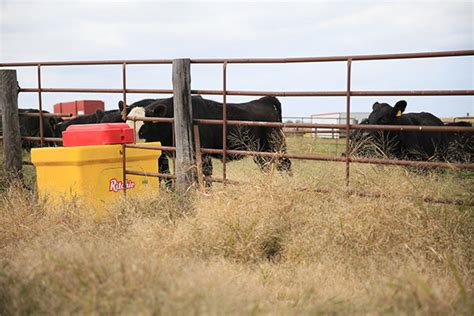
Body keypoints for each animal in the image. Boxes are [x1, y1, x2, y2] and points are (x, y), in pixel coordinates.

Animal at [131, 94, 290, 183]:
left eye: (144, 128)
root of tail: (263, 100)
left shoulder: (203, 155)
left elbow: (205, 175)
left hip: (275, 145)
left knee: (285, 165)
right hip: (260, 152)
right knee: (267, 167)